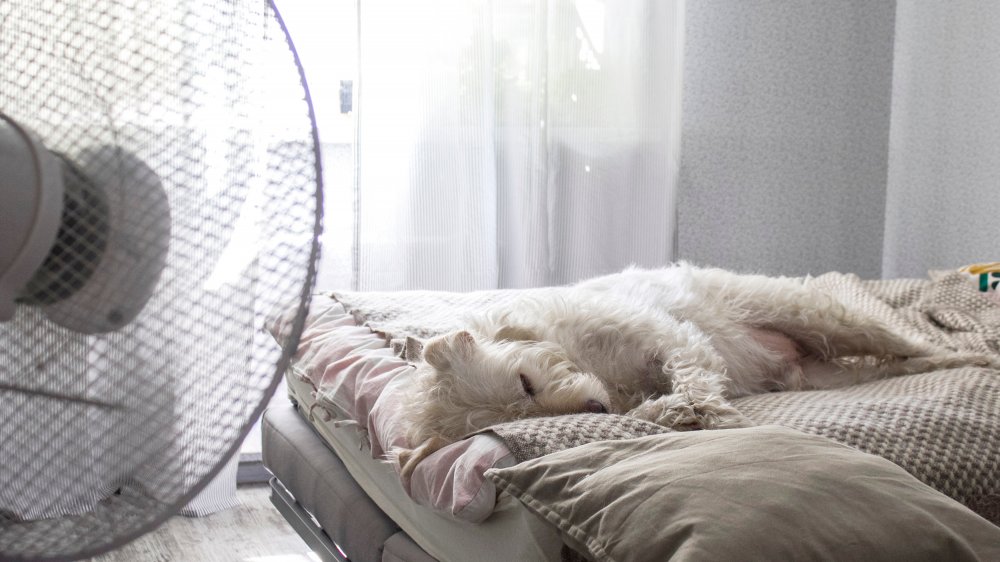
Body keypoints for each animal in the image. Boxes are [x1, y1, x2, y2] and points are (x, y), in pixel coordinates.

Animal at [396, 262, 992, 472]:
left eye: (525, 382)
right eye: (522, 420)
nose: (593, 407)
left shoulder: (670, 339)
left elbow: (694, 381)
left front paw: (716, 417)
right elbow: (663, 407)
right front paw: (681, 414)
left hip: (826, 318)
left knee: (912, 343)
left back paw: (975, 356)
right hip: (835, 373)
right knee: (897, 365)